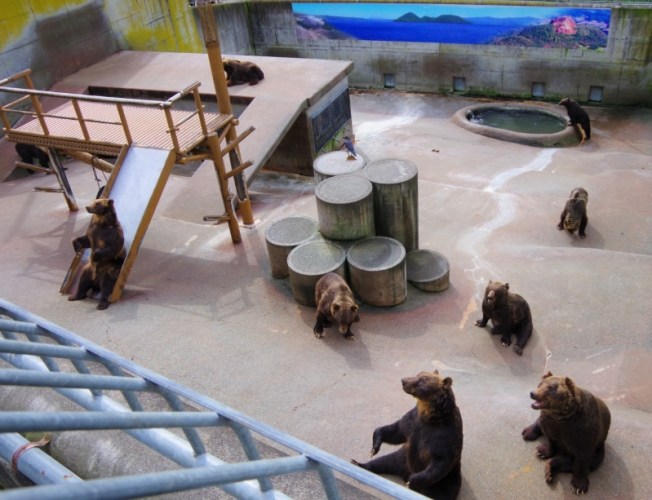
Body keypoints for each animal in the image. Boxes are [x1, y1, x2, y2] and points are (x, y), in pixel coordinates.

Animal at [352, 370, 464, 500]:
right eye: (418, 374)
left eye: (423, 379)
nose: (403, 380)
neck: (430, 415)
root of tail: (404, 473)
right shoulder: (413, 421)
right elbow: (396, 431)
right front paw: (374, 448)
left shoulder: (443, 435)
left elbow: (440, 461)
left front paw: (412, 481)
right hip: (403, 458)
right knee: (385, 461)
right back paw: (358, 463)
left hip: (446, 481)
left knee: (442, 492)